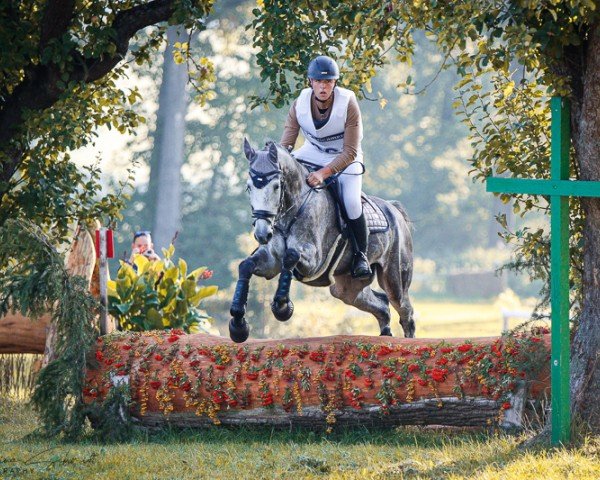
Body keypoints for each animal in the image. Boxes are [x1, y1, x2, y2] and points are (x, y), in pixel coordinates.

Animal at [227, 137, 414, 344]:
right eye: (249, 187)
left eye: (276, 186)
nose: (262, 234)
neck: (293, 208)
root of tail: (394, 210)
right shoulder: (271, 260)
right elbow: (246, 265)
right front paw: (238, 325)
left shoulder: (314, 262)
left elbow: (291, 255)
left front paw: (282, 307)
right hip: (345, 288)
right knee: (381, 305)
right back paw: (385, 334)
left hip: (395, 280)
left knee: (405, 312)